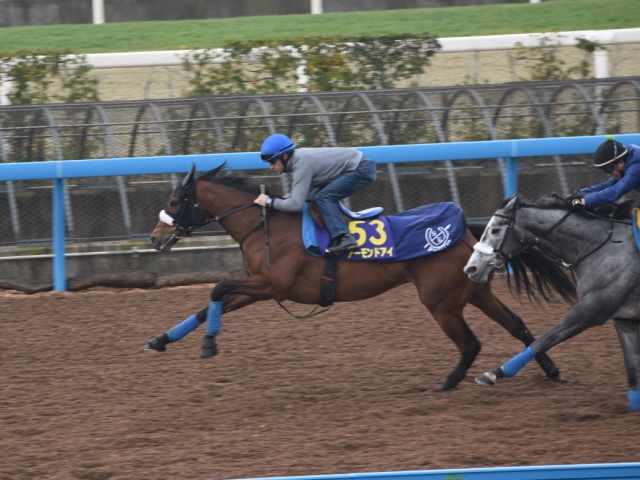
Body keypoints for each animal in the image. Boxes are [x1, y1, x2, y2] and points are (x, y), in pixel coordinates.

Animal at [146, 163, 560, 392]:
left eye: (174, 202)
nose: (154, 238)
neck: (264, 225)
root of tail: (465, 235)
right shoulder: (261, 287)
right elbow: (211, 303)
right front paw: (160, 340)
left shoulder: (272, 284)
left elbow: (216, 289)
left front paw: (208, 344)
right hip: (473, 291)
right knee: (517, 324)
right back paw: (550, 370)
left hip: (440, 301)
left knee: (471, 343)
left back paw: (448, 382)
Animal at [462, 193, 640, 410]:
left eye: (495, 229)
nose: (471, 268)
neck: (604, 247)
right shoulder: (625, 320)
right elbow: (632, 368)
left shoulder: (592, 310)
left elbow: (544, 340)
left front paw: (493, 373)